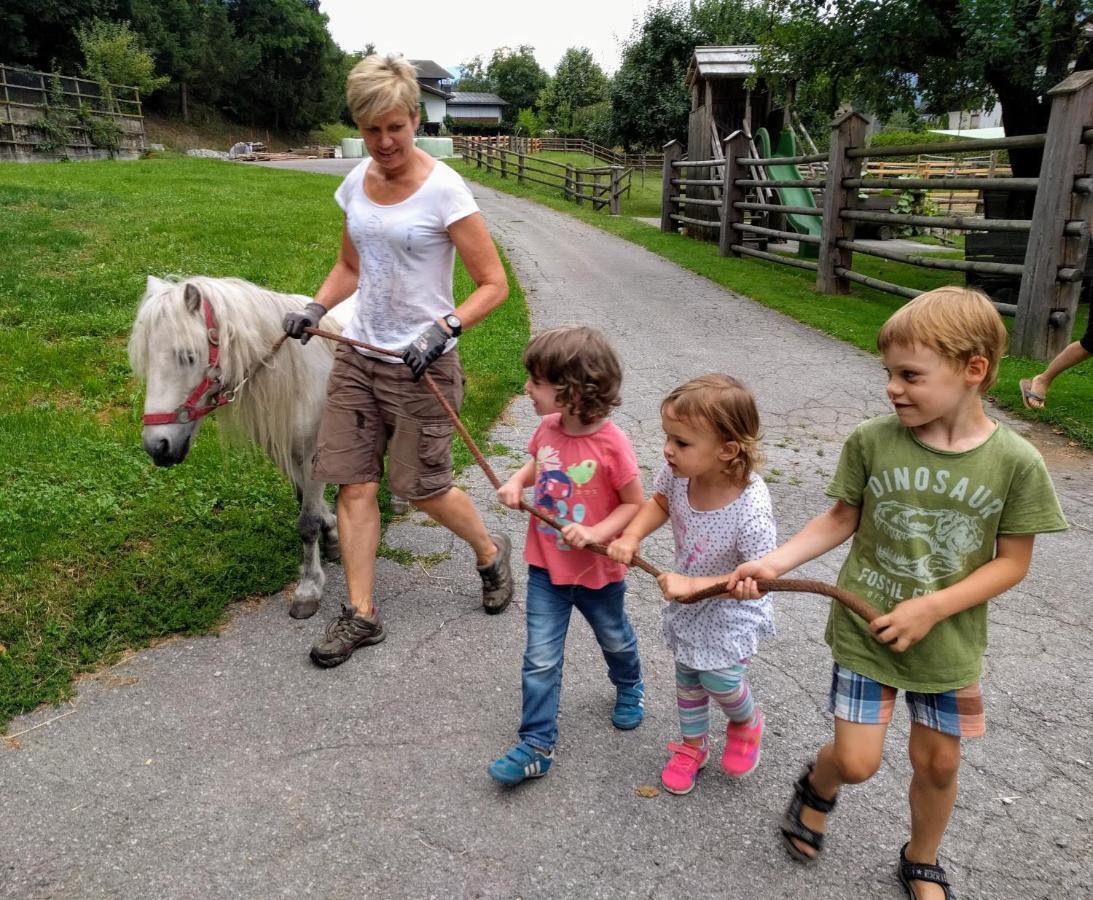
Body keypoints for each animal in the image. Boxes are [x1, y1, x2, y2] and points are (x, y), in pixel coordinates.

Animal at [127, 274, 351, 621]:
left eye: (187, 356)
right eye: (147, 360)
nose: (157, 447)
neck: (299, 378)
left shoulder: (314, 455)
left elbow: (307, 523)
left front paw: (309, 588)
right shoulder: (289, 456)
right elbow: (307, 504)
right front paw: (332, 534)